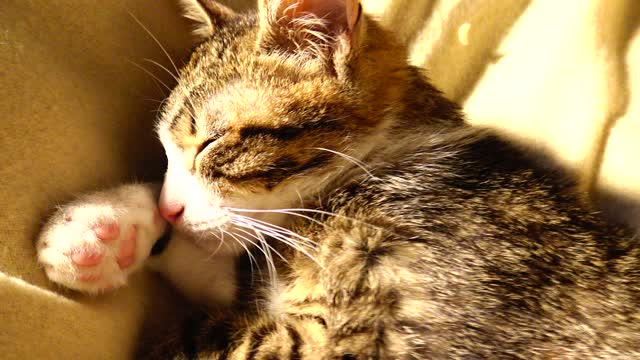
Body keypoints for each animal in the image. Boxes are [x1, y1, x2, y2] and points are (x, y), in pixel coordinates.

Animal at [36, 0, 640, 358]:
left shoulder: (371, 338)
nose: (169, 208)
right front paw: (102, 231)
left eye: (210, 142)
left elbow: (206, 330)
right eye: (163, 150)